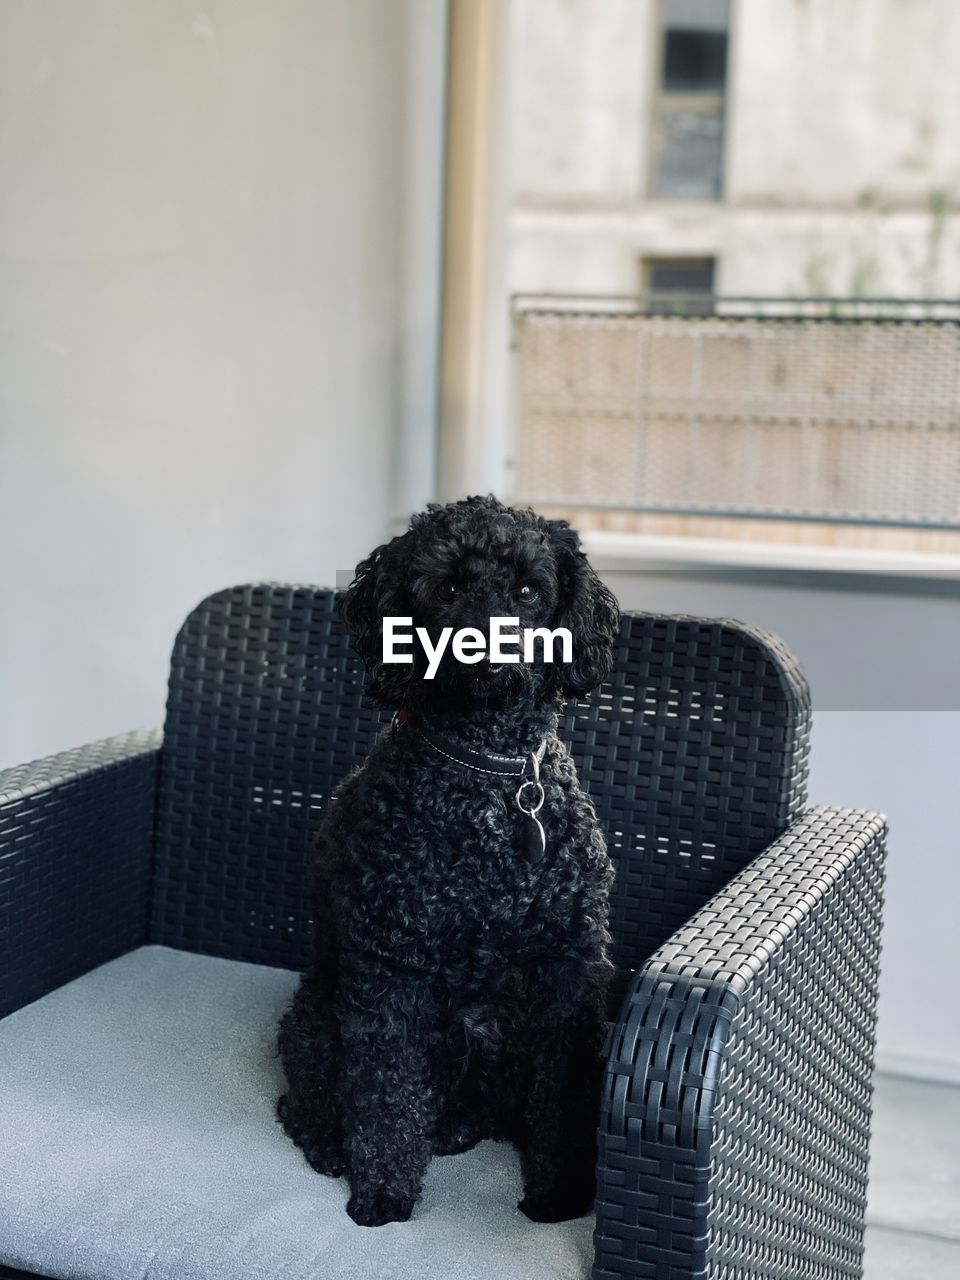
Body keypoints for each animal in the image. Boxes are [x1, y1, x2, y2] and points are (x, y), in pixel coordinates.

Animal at [277, 494, 624, 1223]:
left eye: (528, 591)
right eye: (447, 589)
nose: (488, 654)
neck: (489, 778)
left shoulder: (566, 973)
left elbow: (562, 1099)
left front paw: (559, 1194)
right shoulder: (392, 967)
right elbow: (386, 1092)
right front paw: (382, 1192)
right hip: (315, 1017)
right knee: (304, 1104)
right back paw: (333, 1147)